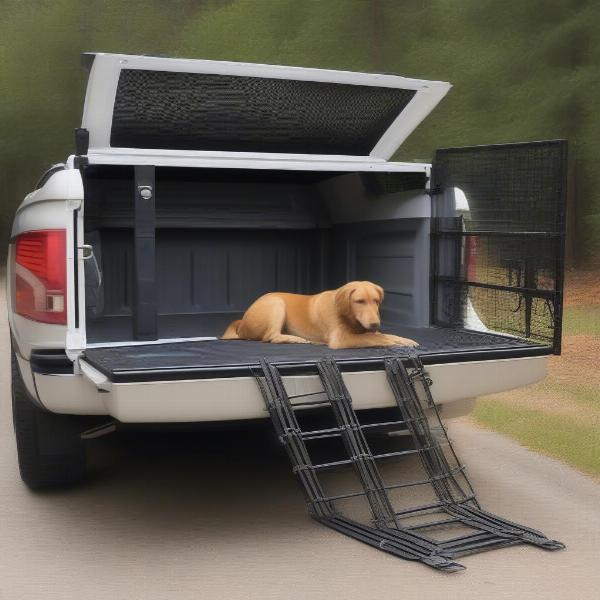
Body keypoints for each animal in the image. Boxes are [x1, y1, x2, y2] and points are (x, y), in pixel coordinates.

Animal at [220, 282, 418, 352]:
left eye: (376, 301)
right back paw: (296, 339)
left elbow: (383, 334)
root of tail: (242, 322)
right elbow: (375, 338)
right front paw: (394, 343)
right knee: (271, 337)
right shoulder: (341, 339)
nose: (375, 324)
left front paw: (405, 340)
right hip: (276, 304)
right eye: (359, 301)